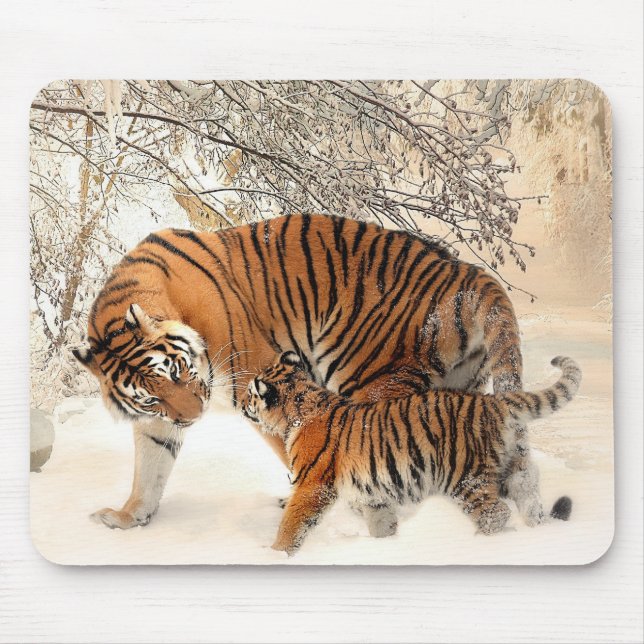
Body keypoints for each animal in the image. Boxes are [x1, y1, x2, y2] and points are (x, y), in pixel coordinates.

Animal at [73, 213, 535, 531]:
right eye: (151, 396)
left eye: (177, 371)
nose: (193, 417)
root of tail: (466, 272)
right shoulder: (158, 420)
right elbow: (149, 469)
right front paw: (128, 518)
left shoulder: (261, 382)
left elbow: (299, 451)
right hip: (459, 389)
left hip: (368, 378)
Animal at [241, 351, 580, 555]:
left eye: (249, 394)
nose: (242, 404)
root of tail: (493, 402)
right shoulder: (373, 493)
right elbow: (381, 522)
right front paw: (386, 546)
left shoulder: (312, 486)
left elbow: (292, 523)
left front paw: (275, 553)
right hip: (511, 468)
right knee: (528, 494)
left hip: (465, 477)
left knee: (496, 513)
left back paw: (477, 544)